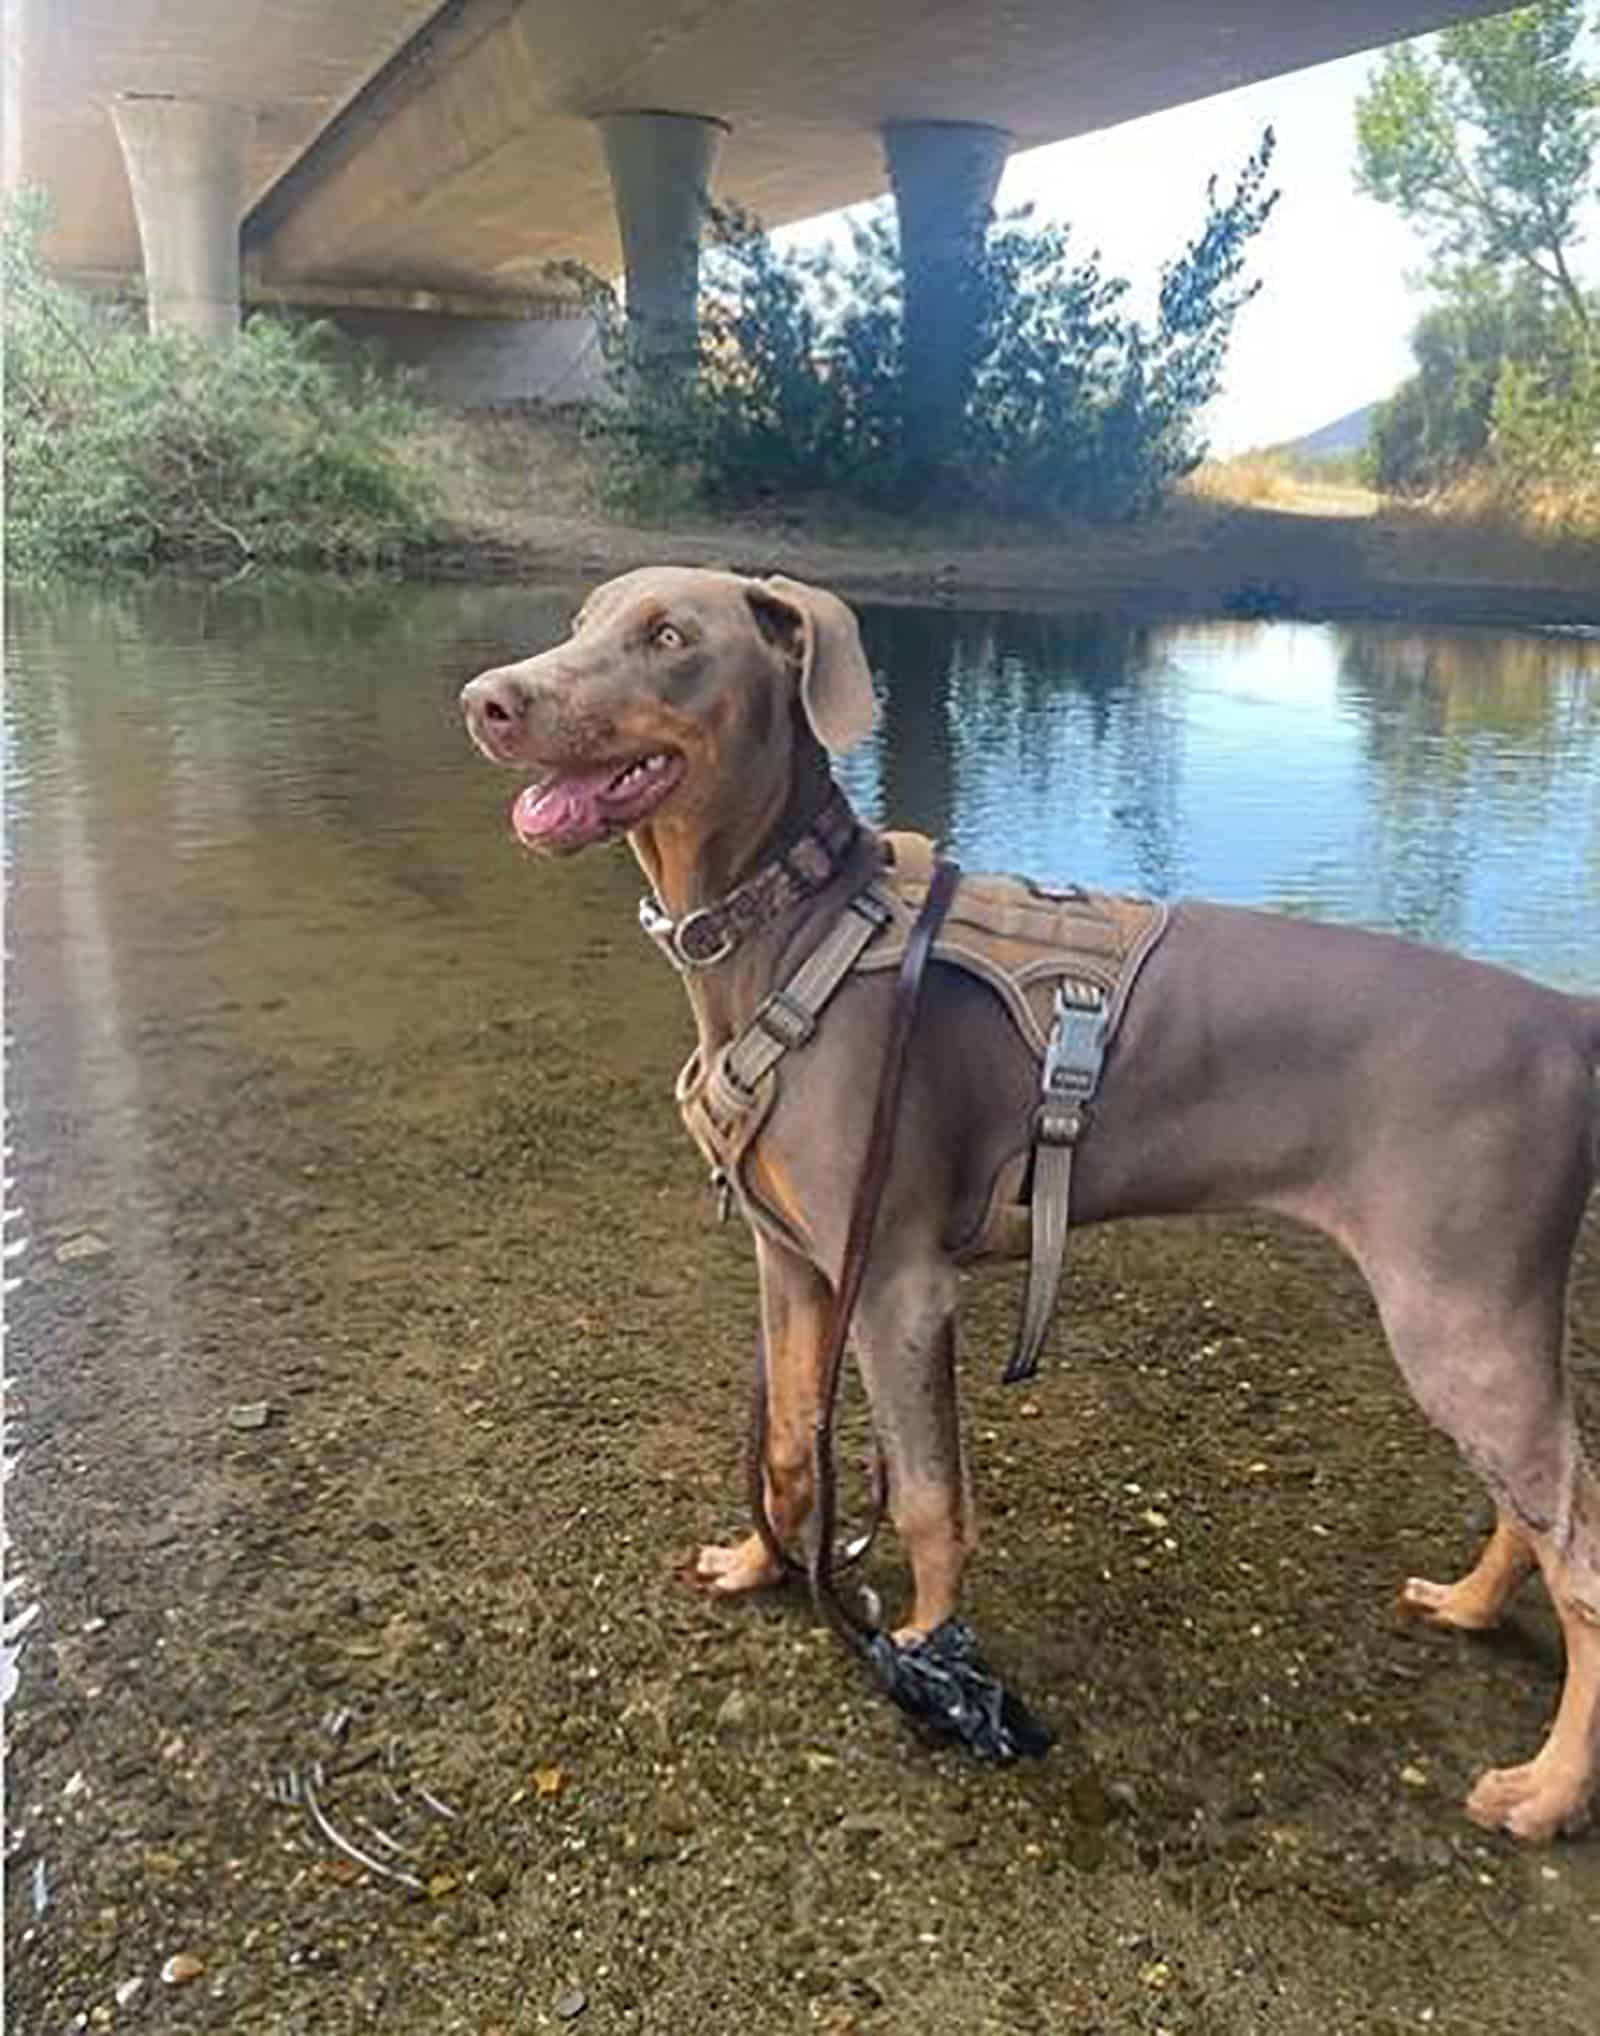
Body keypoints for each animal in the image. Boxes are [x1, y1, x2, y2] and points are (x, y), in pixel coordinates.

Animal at [462, 566, 1595, 1840]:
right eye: (581, 622)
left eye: (668, 637)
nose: (486, 701)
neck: (797, 935)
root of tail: (1568, 1020)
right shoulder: (792, 1260)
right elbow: (791, 1440)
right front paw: (761, 1566)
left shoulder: (897, 1280)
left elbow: (927, 1495)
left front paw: (922, 1649)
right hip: (1479, 1318)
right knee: (1535, 1505)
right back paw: (1469, 1602)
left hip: (1458, 1314)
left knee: (1583, 1552)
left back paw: (1549, 1786)